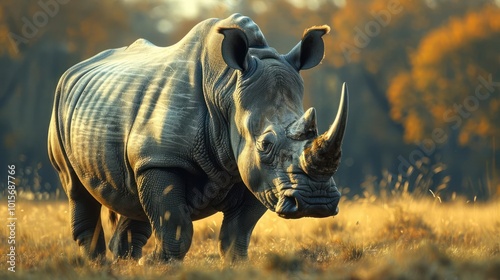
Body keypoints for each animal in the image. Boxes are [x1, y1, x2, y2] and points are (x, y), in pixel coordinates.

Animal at [48, 13, 350, 262]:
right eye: (265, 144)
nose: (316, 202)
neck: (226, 90)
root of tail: (74, 70)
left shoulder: (260, 176)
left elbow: (236, 234)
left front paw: (235, 265)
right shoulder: (162, 158)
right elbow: (175, 228)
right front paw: (160, 265)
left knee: (133, 199)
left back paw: (125, 263)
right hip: (60, 105)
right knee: (76, 189)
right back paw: (99, 264)